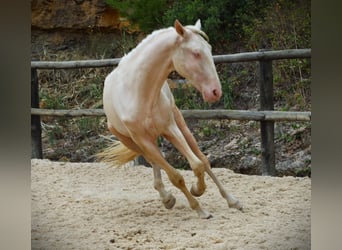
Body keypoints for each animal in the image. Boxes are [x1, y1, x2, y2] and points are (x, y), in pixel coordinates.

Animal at [98, 20, 243, 219]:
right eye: (196, 53)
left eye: (209, 49)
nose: (215, 92)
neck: (140, 92)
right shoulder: (143, 140)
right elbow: (175, 177)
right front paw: (198, 208)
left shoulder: (170, 129)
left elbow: (197, 165)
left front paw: (197, 190)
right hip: (135, 142)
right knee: (155, 163)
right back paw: (166, 198)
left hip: (179, 124)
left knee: (203, 160)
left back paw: (232, 200)